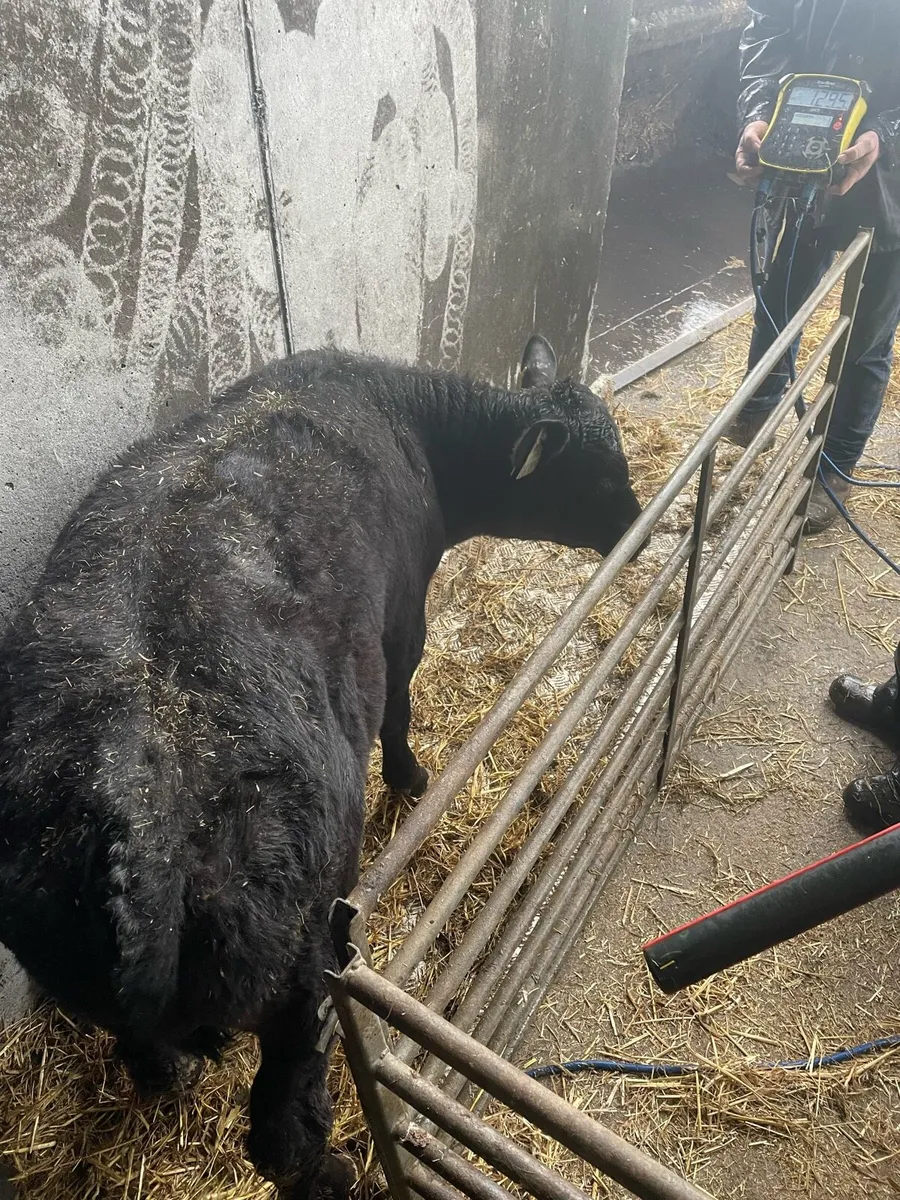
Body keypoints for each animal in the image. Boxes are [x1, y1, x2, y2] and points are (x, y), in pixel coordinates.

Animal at [0, 337, 642, 1197]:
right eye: (600, 475)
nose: (637, 522)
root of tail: (138, 813)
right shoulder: (404, 620)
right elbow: (400, 707)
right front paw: (411, 779)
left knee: (153, 1060)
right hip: (304, 969)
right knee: (286, 1128)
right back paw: (337, 1170)